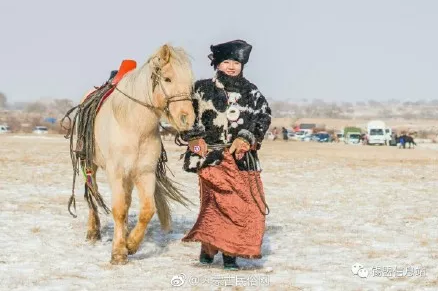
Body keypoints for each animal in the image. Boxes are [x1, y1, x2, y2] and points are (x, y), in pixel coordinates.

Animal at [63, 44, 195, 266]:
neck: (134, 127)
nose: (187, 119)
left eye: (191, 83)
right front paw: (118, 252)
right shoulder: (115, 173)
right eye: (167, 78)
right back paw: (93, 231)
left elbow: (146, 210)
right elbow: (119, 209)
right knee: (92, 194)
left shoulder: (145, 173)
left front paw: (131, 244)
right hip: (90, 164)